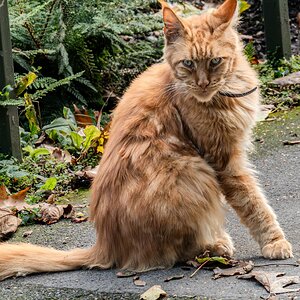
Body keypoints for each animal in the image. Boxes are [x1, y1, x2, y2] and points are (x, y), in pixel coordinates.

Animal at [0, 0, 292, 282]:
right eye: (188, 63)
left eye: (215, 61)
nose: (202, 84)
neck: (226, 90)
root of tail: (105, 244)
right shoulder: (225, 161)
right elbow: (254, 203)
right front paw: (275, 242)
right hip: (194, 173)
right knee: (178, 251)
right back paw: (214, 246)